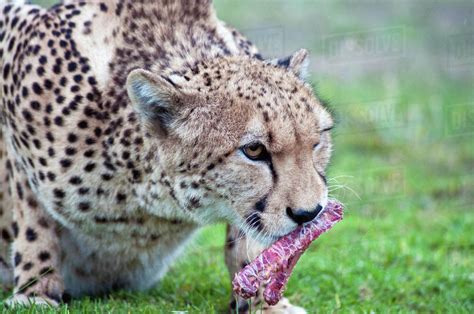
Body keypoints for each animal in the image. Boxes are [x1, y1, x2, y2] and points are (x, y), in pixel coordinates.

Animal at [0, 0, 334, 312]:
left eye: (317, 141)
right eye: (253, 150)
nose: (309, 213)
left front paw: (264, 302)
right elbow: (33, 220)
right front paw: (36, 291)